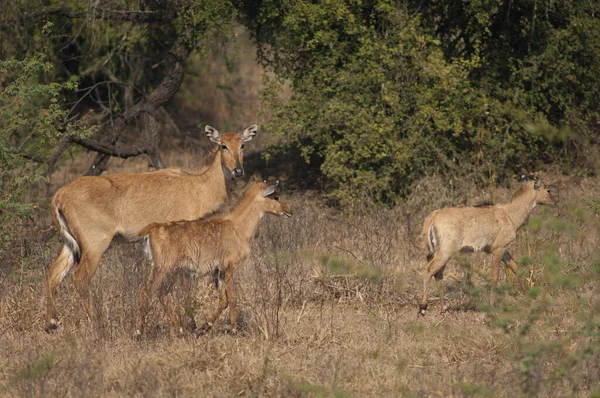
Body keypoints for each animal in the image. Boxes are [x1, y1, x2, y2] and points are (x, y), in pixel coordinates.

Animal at [44, 123, 255, 332]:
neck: (198, 185)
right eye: (223, 145)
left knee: (54, 273)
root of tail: (59, 195)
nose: (238, 171)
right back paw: (98, 324)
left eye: (242, 145)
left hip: (71, 244)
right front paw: (190, 323)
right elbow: (186, 283)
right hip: (95, 245)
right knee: (81, 279)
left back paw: (51, 323)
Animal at [137, 182, 296, 338]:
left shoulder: (218, 271)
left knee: (148, 290)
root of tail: (151, 229)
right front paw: (233, 330)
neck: (238, 227)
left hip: (157, 267)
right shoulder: (230, 267)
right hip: (165, 268)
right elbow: (232, 297)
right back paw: (158, 331)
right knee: (154, 290)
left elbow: (223, 301)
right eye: (276, 197)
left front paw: (203, 328)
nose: (290, 211)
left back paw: (159, 330)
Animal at [420, 176, 556, 316]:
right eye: (548, 190)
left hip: (441, 253)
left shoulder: (504, 250)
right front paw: (492, 305)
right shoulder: (498, 249)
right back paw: (423, 307)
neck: (510, 215)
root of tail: (433, 216)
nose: (556, 202)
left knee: (438, 274)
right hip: (445, 252)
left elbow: (516, 268)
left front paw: (529, 295)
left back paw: (443, 308)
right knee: (428, 271)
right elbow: (494, 276)